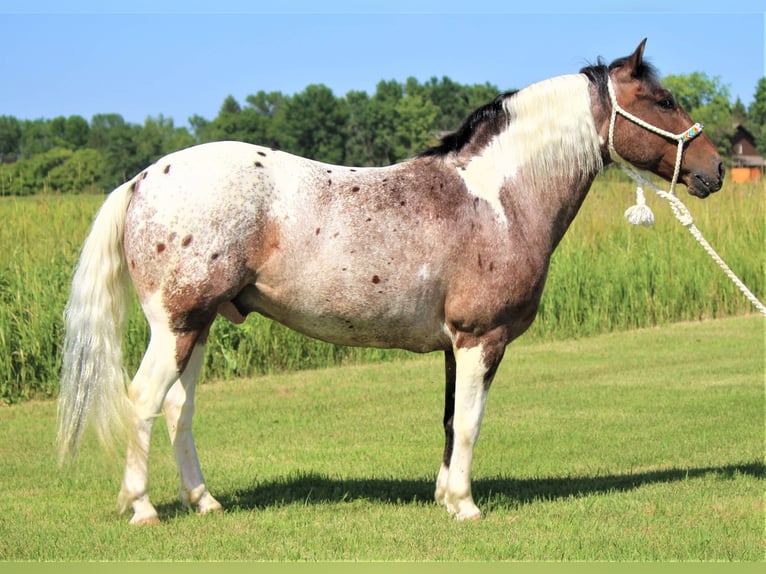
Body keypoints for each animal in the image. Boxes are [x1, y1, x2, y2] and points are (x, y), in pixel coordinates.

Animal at [58, 39, 728, 528]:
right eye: (662, 99)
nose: (716, 169)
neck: (499, 199)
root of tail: (144, 177)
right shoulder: (480, 339)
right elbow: (472, 420)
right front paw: (466, 506)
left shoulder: (457, 346)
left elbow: (452, 421)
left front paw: (445, 495)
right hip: (177, 324)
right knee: (144, 400)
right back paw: (143, 508)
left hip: (196, 328)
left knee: (178, 408)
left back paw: (204, 501)